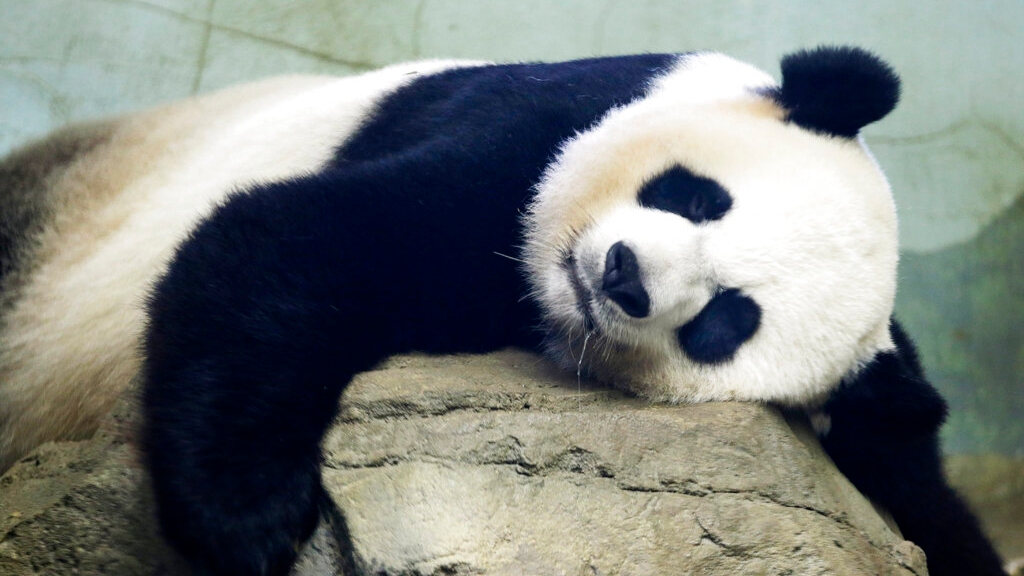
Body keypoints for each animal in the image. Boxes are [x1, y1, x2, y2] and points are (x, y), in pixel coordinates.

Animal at [0, 47, 1006, 576]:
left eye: (726, 321)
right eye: (696, 197)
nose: (623, 276)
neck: (536, 298)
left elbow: (916, 477)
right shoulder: (534, 129)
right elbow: (293, 236)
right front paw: (247, 521)